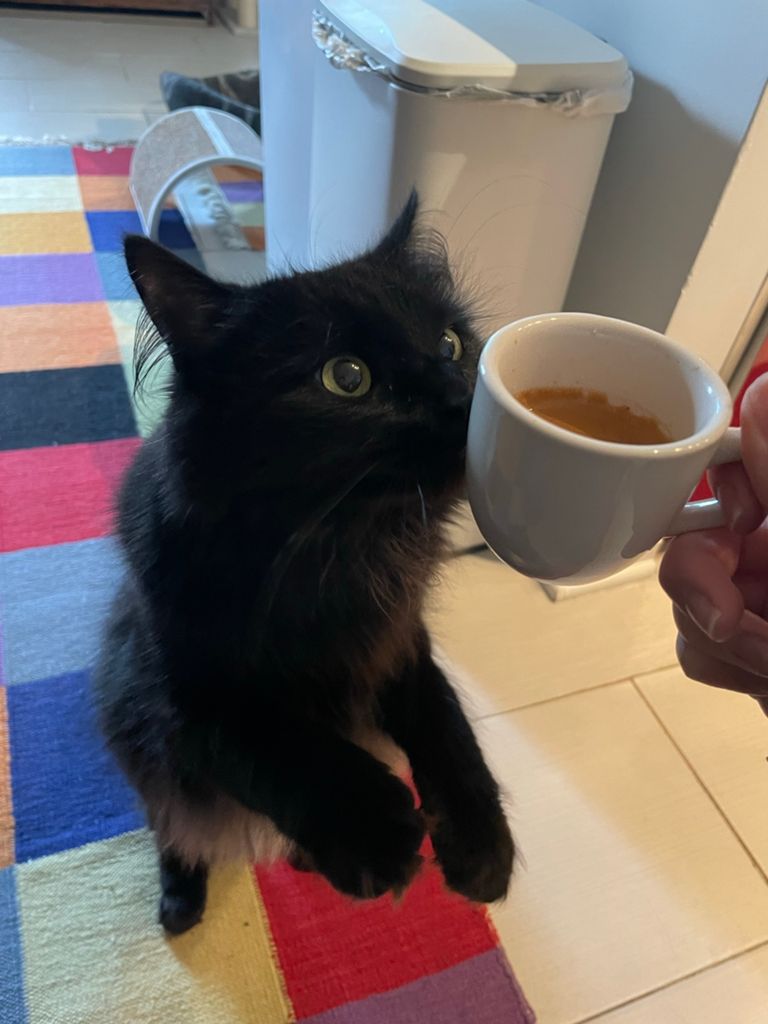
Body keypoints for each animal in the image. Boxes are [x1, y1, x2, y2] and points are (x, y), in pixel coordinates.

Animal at [93, 194, 514, 935]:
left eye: (450, 345)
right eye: (347, 378)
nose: (464, 400)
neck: (340, 549)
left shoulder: (401, 642)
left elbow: (446, 723)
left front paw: (480, 844)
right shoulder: (175, 695)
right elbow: (278, 745)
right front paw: (375, 832)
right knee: (175, 826)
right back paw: (181, 902)